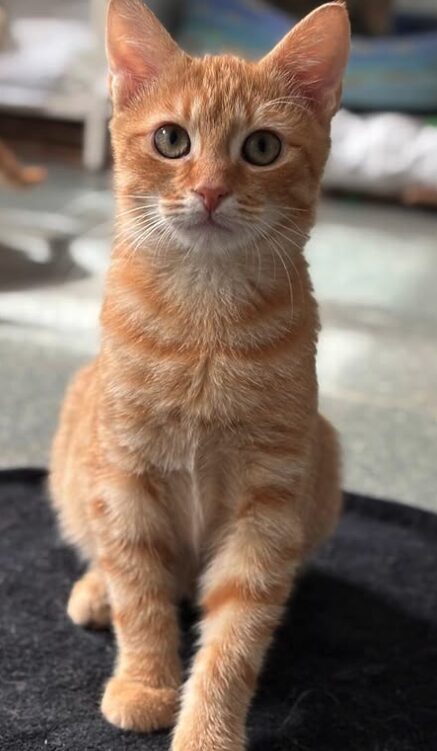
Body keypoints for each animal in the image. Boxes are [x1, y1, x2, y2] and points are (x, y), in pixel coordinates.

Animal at [49, 2, 350, 748]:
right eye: (171, 139)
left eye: (262, 148)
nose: (211, 190)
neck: (204, 325)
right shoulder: (125, 476)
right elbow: (139, 593)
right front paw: (145, 682)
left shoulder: (266, 504)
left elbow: (237, 630)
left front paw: (207, 728)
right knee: (102, 552)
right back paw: (94, 590)